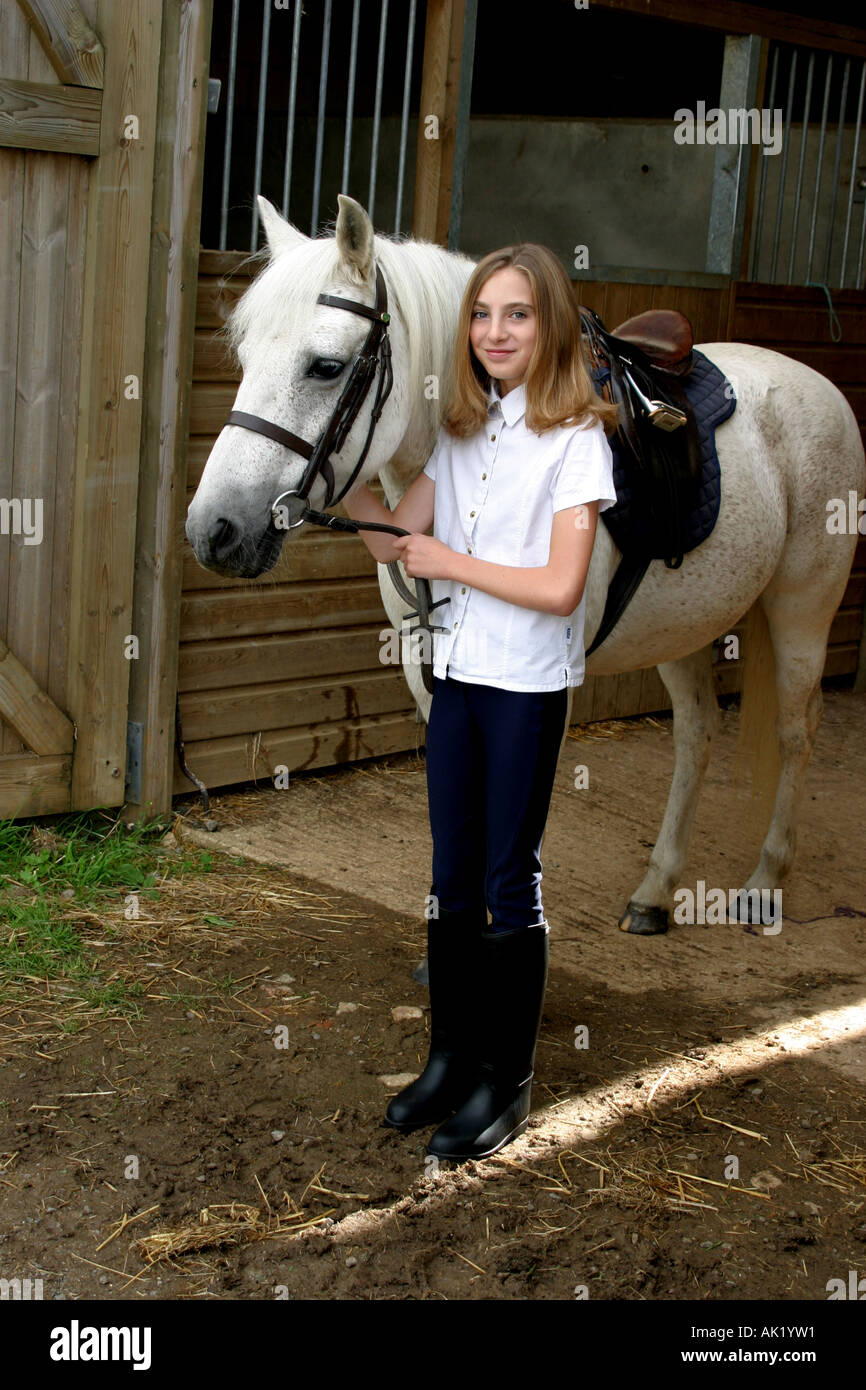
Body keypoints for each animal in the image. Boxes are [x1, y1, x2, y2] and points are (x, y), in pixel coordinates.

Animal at [186, 193, 861, 934]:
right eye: (245, 355)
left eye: (327, 367)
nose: (213, 531)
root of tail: (818, 385)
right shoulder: (429, 669)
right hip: (686, 623)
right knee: (697, 731)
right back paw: (656, 891)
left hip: (803, 609)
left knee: (797, 730)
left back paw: (765, 883)